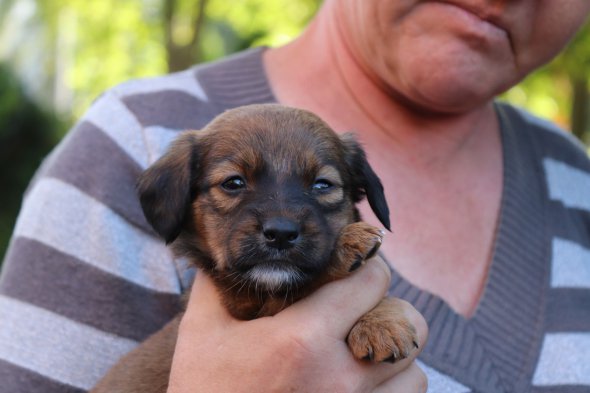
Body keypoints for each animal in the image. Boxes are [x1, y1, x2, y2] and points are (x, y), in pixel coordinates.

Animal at [91, 104, 416, 392]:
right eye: (233, 183)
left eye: (323, 185)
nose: (281, 234)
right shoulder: (248, 303)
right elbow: (304, 284)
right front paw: (347, 245)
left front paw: (382, 322)